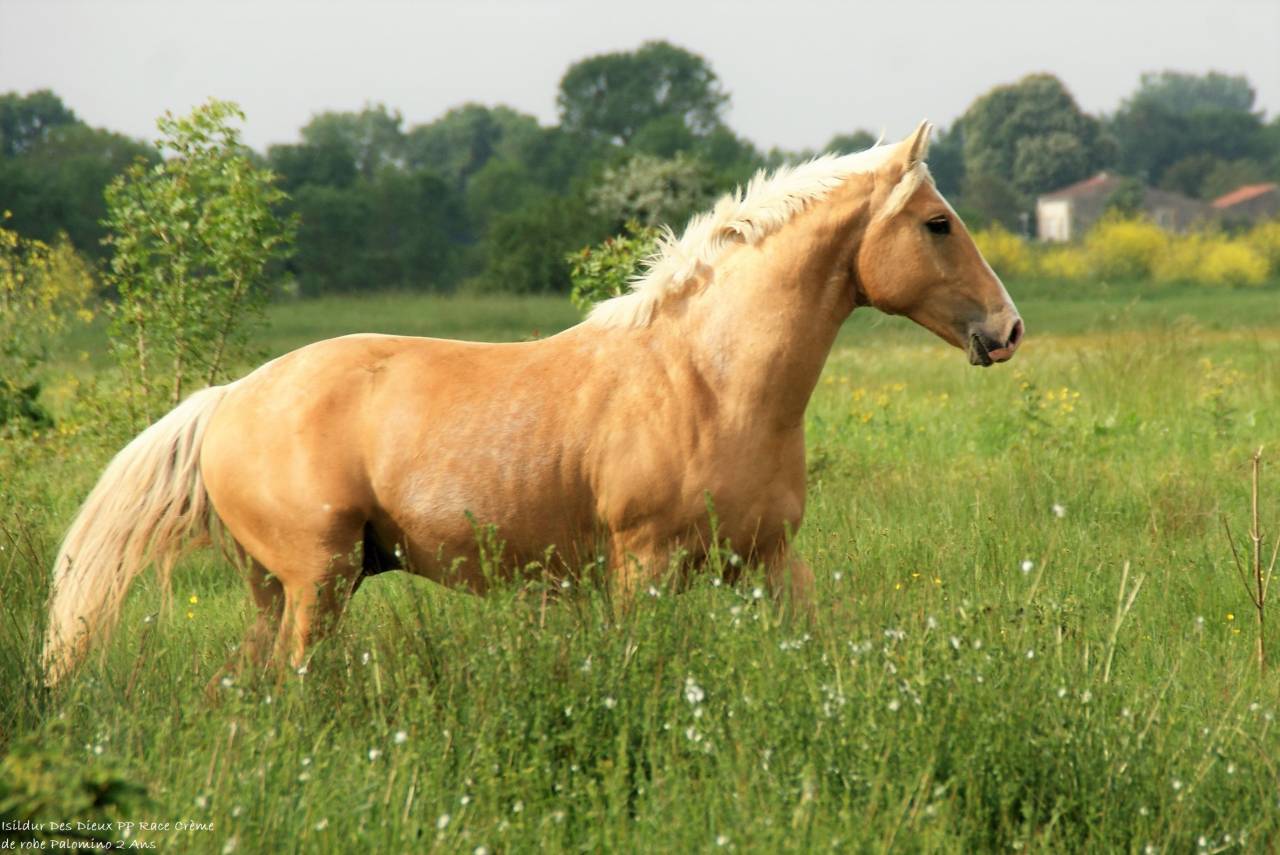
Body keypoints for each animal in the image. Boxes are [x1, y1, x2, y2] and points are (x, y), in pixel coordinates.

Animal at [42, 122, 1022, 685]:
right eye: (937, 223)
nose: (1007, 328)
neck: (710, 384)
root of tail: (229, 397)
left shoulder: (771, 560)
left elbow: (817, 645)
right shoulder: (643, 567)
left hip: (281, 588)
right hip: (317, 581)